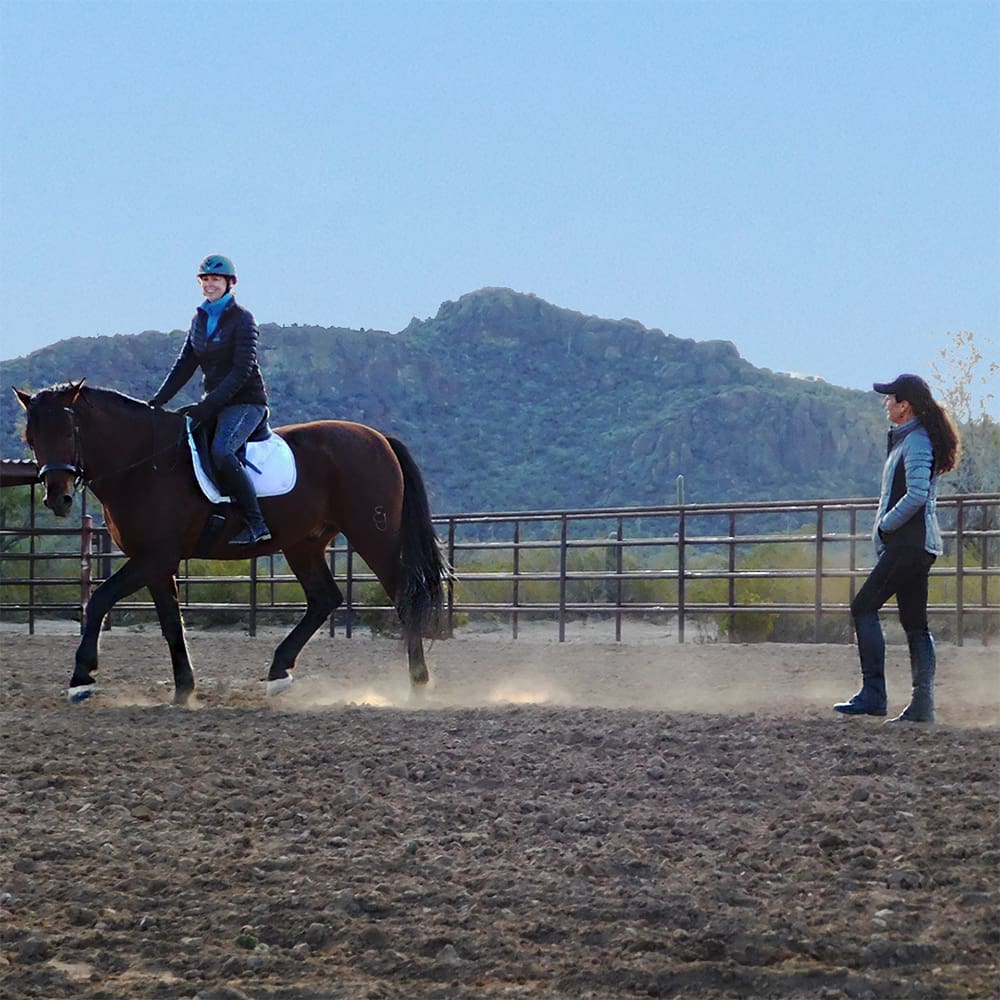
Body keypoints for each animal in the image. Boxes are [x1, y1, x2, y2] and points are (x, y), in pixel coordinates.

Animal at [10, 380, 450, 704]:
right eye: (32, 437)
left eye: (68, 431)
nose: (58, 498)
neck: (146, 462)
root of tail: (379, 438)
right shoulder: (157, 563)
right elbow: (171, 623)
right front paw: (184, 690)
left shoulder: (154, 557)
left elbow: (99, 600)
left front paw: (81, 679)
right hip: (303, 543)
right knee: (325, 598)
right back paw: (278, 673)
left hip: (373, 535)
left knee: (403, 598)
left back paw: (418, 685)